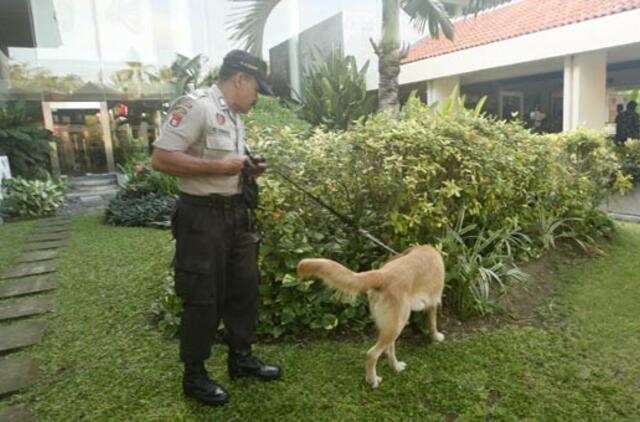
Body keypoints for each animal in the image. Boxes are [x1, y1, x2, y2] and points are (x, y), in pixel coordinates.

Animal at [296, 244, 442, 390]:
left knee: (388, 348)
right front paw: (436, 337)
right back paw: (373, 380)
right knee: (372, 354)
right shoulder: (434, 302)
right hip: (397, 324)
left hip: (393, 325)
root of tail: (383, 274)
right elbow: (433, 323)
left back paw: (395, 367)